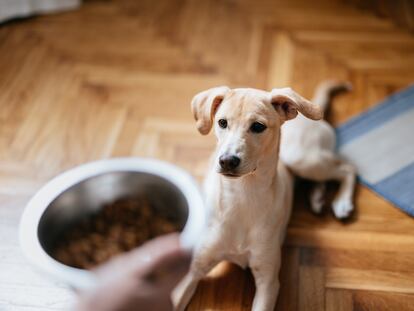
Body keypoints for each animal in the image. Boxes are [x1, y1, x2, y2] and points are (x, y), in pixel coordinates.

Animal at [173, 81, 358, 310]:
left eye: (258, 127)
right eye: (222, 122)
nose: (227, 161)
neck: (242, 196)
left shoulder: (268, 281)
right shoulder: (193, 269)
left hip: (301, 159)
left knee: (347, 169)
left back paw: (341, 202)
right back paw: (317, 198)